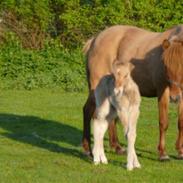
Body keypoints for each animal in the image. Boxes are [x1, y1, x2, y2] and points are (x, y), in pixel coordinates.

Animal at [82, 24, 183, 160]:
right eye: (165, 65)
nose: (175, 97)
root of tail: (95, 40)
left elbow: (181, 123)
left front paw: (180, 151)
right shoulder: (163, 92)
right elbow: (164, 122)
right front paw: (163, 153)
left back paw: (117, 147)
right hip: (96, 87)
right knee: (87, 110)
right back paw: (88, 150)